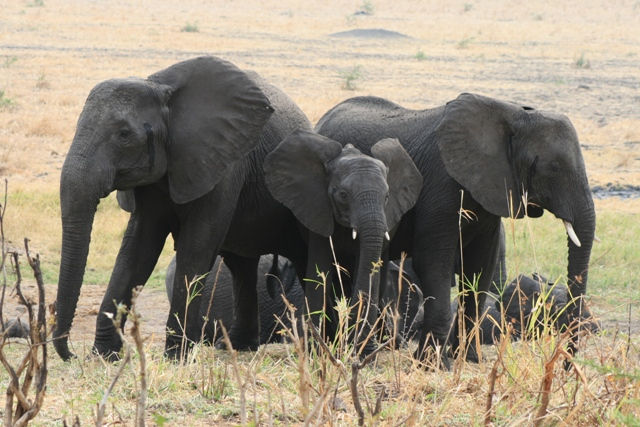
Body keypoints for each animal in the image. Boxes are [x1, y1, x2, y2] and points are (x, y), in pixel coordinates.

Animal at [315, 93, 596, 368]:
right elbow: (434, 262)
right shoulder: (442, 184)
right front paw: (433, 365)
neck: (514, 114)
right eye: (553, 168)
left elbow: (480, 268)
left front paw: (469, 359)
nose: (566, 365)